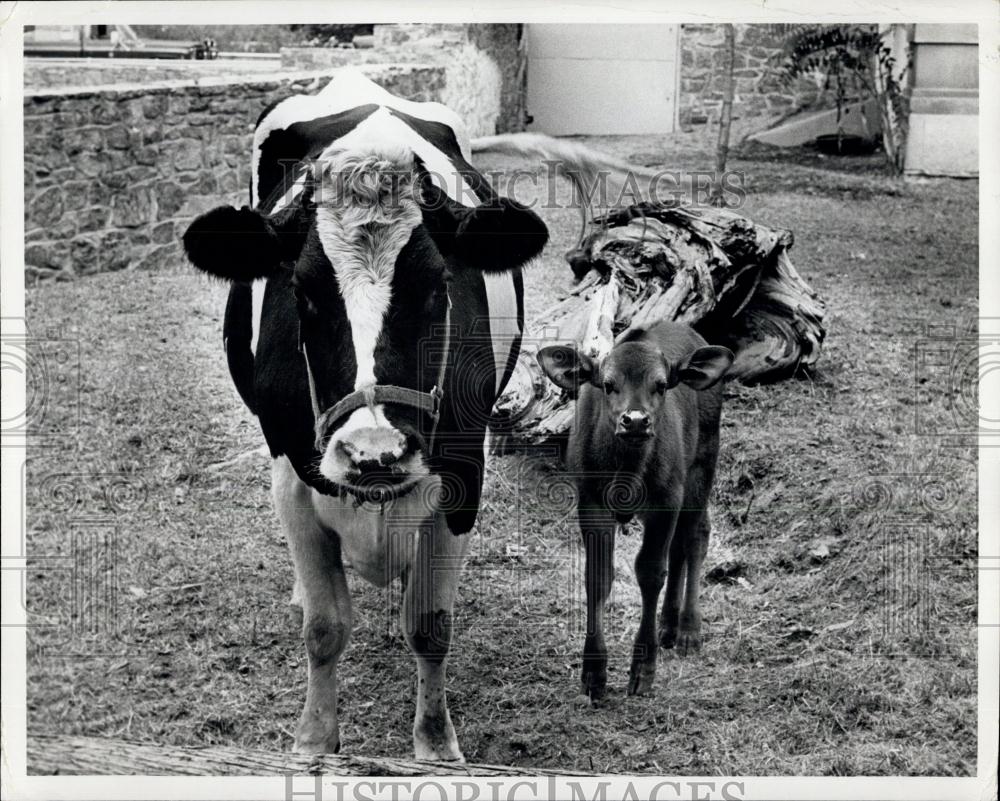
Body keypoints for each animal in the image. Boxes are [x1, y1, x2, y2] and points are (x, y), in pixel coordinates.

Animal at [183, 72, 552, 760]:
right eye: (301, 292)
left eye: (437, 287)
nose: (374, 452)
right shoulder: (293, 477)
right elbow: (325, 627)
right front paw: (314, 740)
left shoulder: (464, 472)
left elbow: (430, 625)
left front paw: (436, 745)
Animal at [540, 324, 736, 700]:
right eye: (608, 384)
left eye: (660, 384)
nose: (634, 421)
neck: (628, 470)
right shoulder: (592, 501)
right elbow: (598, 576)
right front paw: (593, 673)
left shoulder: (666, 500)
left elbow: (650, 573)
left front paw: (643, 669)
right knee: (679, 548)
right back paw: (668, 626)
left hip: (701, 468)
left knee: (694, 537)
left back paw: (688, 629)